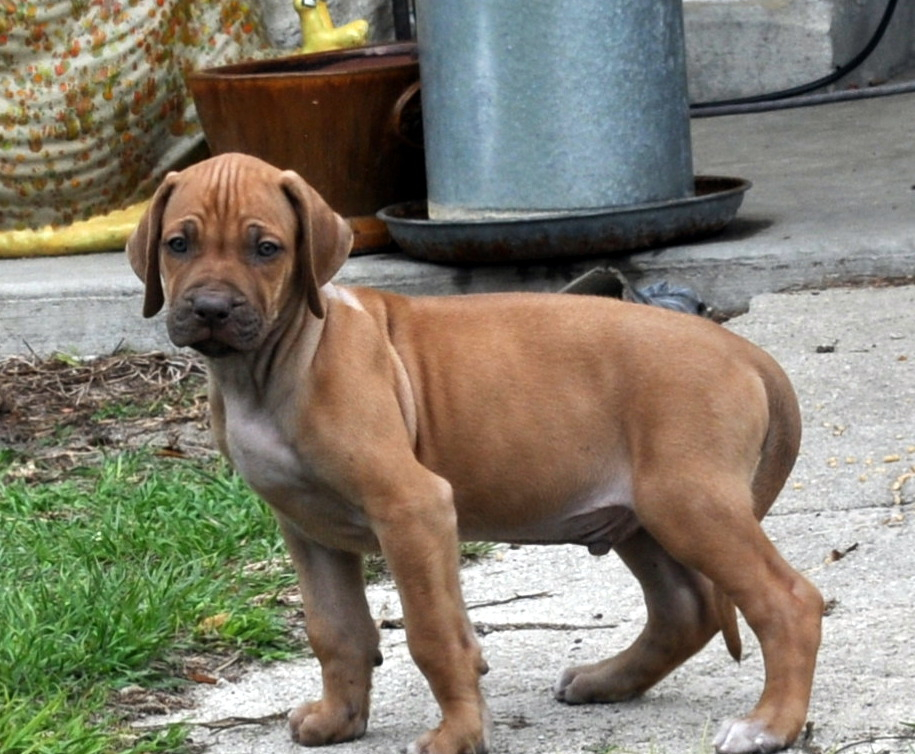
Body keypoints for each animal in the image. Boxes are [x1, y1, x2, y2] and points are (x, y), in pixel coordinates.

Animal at [127, 153, 824, 752]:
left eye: (266, 249)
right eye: (178, 244)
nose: (210, 309)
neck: (271, 367)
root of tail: (743, 351)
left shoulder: (413, 509)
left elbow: (434, 634)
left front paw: (457, 735)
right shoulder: (306, 528)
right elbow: (336, 631)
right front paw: (339, 720)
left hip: (687, 503)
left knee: (787, 602)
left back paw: (769, 725)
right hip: (639, 514)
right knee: (687, 608)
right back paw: (606, 681)